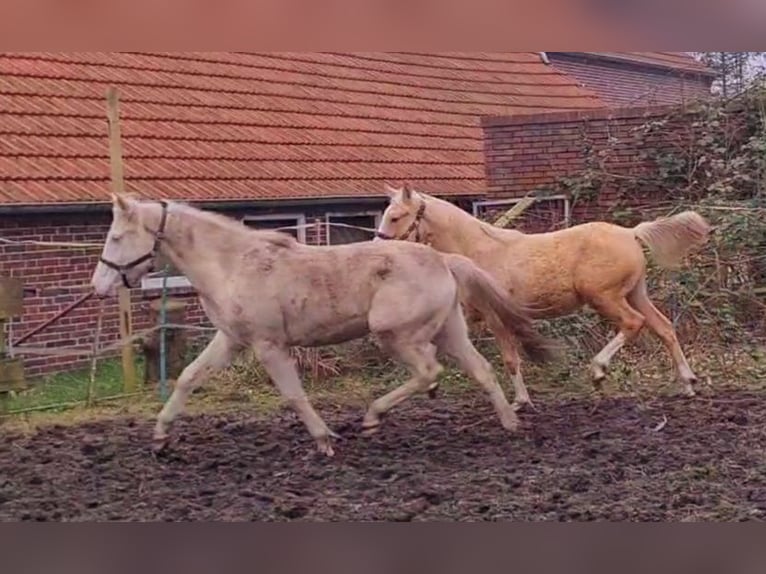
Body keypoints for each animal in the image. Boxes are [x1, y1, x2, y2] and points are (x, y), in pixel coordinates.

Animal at [91, 196, 560, 456]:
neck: (235, 264)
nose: (98, 285)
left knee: (429, 371)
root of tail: (443, 259)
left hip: (395, 334)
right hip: (450, 330)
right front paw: (160, 437)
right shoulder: (231, 340)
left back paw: (373, 417)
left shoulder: (268, 345)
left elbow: (294, 396)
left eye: (116, 237)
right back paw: (510, 424)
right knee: (481, 370)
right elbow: (188, 377)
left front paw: (325, 439)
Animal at [378, 186, 712, 410]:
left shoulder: (495, 318)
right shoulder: (472, 317)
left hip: (605, 298)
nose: (379, 249)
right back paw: (688, 383)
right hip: (636, 293)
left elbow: (510, 360)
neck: (480, 251)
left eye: (395, 217)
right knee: (663, 328)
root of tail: (631, 232)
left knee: (634, 323)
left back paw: (598, 370)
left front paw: (520, 402)